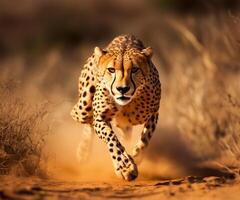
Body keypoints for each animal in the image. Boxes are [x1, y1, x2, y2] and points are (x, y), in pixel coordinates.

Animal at [71, 34, 161, 181]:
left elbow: (145, 139)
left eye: (135, 69)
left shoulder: (153, 113)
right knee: (84, 119)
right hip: (83, 107)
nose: (122, 89)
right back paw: (83, 152)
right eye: (111, 70)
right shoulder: (100, 118)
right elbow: (111, 139)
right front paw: (125, 167)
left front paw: (136, 157)